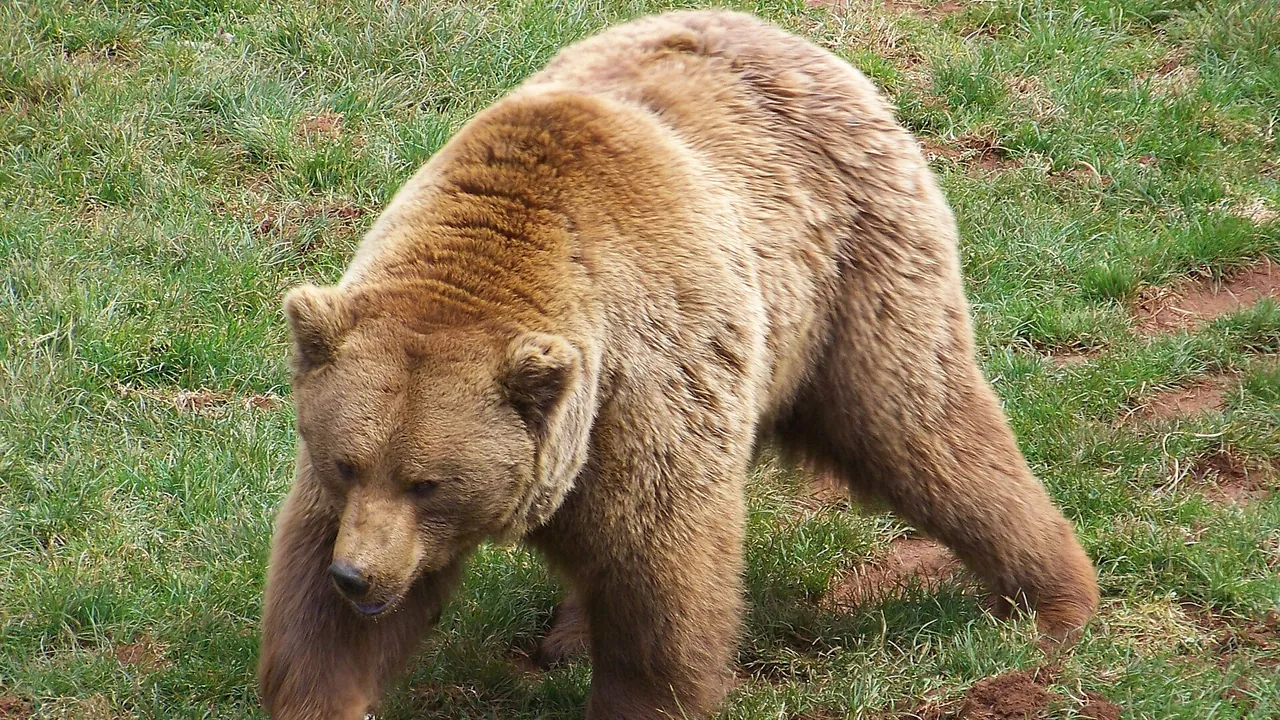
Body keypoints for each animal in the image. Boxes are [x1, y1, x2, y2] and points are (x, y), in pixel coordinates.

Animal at [256, 10, 1099, 720]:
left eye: (428, 482)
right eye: (346, 462)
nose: (359, 575)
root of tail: (799, 40)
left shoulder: (644, 390)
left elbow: (659, 574)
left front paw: (642, 693)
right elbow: (317, 605)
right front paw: (326, 685)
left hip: (855, 276)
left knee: (925, 426)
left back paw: (1054, 601)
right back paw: (569, 636)